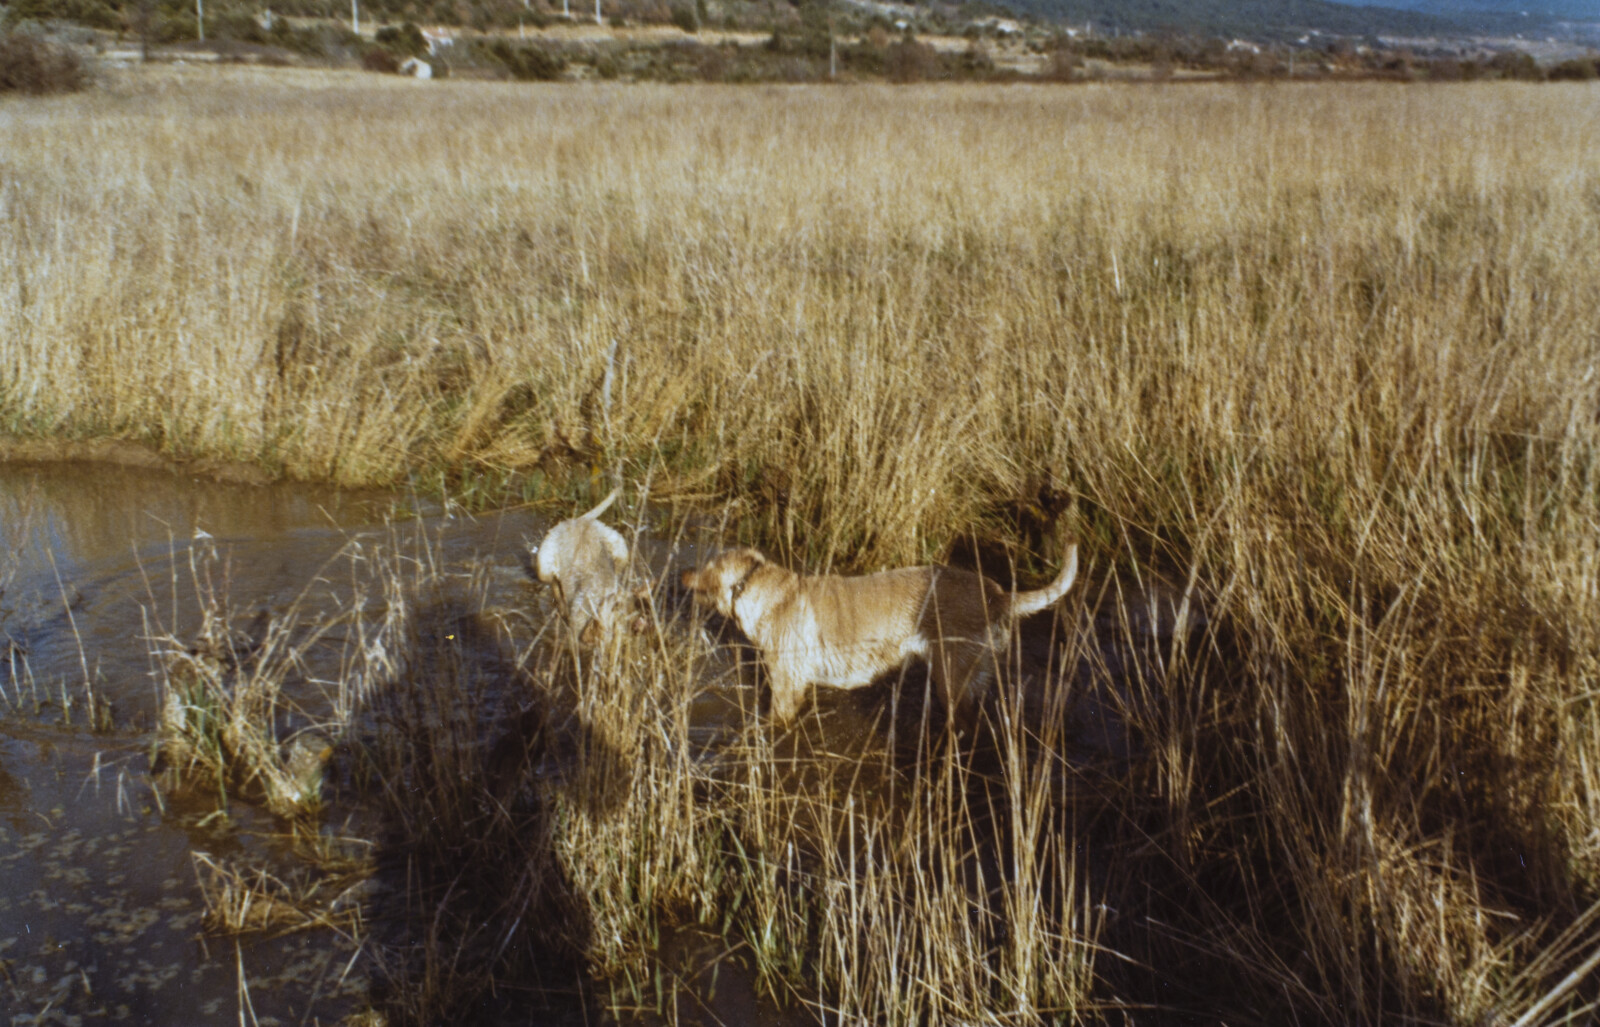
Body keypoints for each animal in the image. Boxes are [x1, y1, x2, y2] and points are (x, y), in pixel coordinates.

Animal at [681, 543, 1081, 719]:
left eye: (705, 564)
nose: (682, 572)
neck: (763, 591)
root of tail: (997, 593)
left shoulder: (785, 685)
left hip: (951, 678)